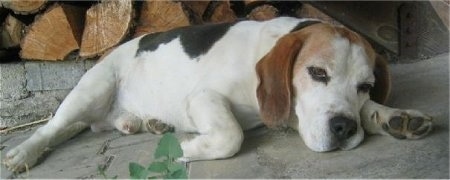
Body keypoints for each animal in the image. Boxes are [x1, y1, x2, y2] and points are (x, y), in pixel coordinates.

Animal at [4, 17, 432, 173]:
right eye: (316, 73)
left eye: (365, 86)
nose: (343, 128)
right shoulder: (203, 97)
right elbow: (231, 134)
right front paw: (187, 147)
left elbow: (374, 111)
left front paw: (394, 116)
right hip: (92, 87)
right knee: (50, 129)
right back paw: (22, 153)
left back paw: (148, 122)